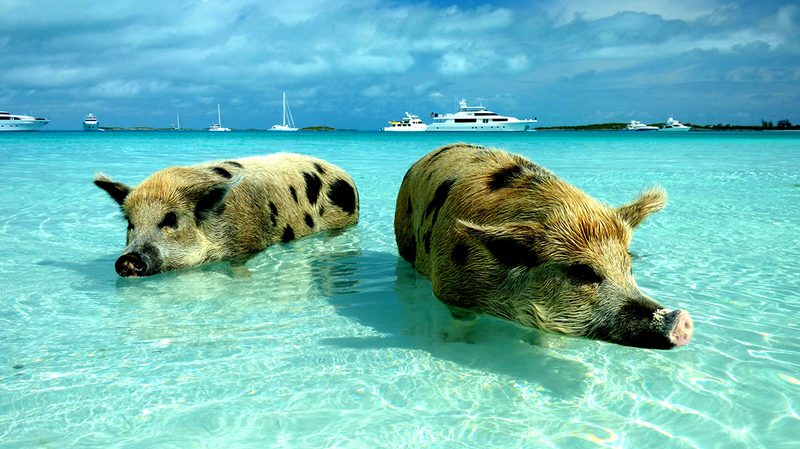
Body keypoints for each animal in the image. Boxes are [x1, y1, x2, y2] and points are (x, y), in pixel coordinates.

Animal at [394, 144, 693, 349]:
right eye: (583, 273)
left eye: (628, 265)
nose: (681, 319)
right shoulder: (450, 289)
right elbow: (462, 322)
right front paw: (457, 344)